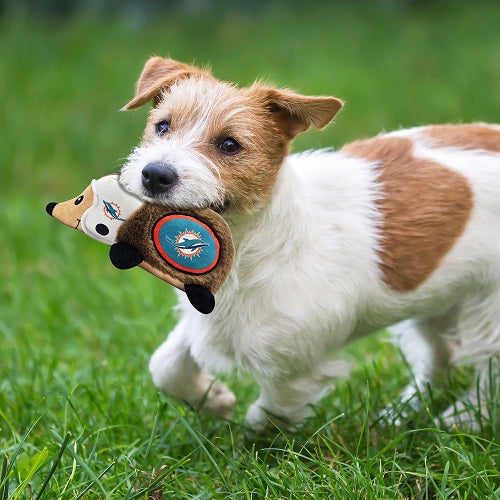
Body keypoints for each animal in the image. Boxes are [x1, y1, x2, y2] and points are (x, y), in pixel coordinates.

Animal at [118, 56, 500, 432]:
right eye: (162, 126)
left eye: (229, 145)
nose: (154, 174)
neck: (247, 245)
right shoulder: (207, 319)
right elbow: (165, 365)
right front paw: (213, 400)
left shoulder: (296, 366)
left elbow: (267, 416)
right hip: (436, 301)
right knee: (441, 357)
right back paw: (401, 415)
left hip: (489, 310)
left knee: (488, 372)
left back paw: (464, 419)